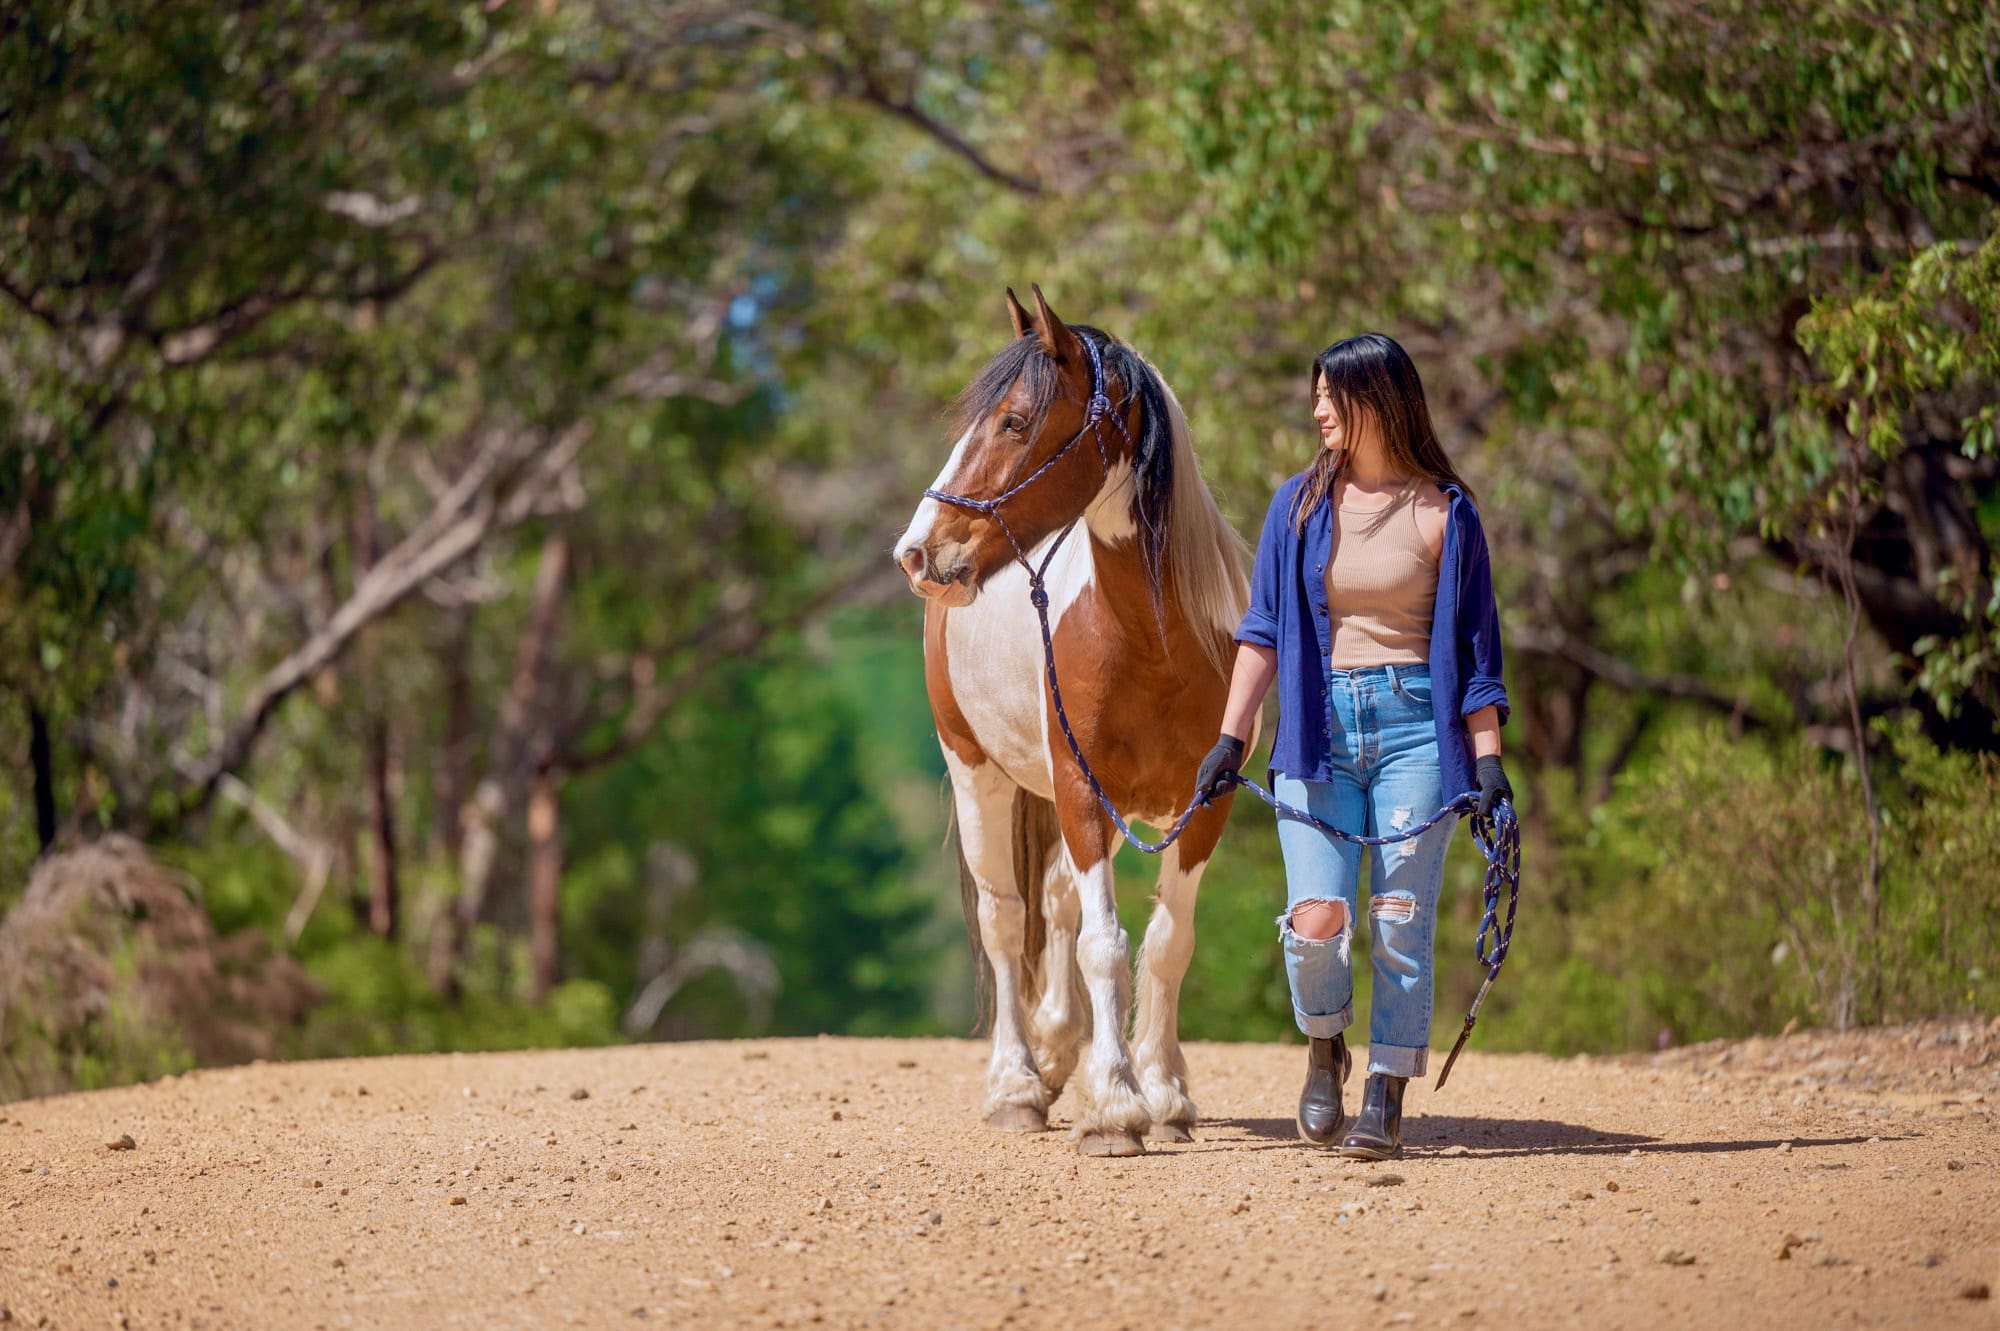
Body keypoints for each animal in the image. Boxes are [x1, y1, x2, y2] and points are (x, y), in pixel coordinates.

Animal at [900, 287, 1256, 1151]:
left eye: (1015, 421)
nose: (917, 553)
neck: (1158, 644)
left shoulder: (1206, 805)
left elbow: (1166, 944)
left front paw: (1164, 1094)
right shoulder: (1082, 791)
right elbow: (1105, 943)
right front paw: (1117, 1106)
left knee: (1059, 899)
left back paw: (1064, 1050)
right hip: (980, 773)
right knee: (1006, 918)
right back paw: (1018, 1085)